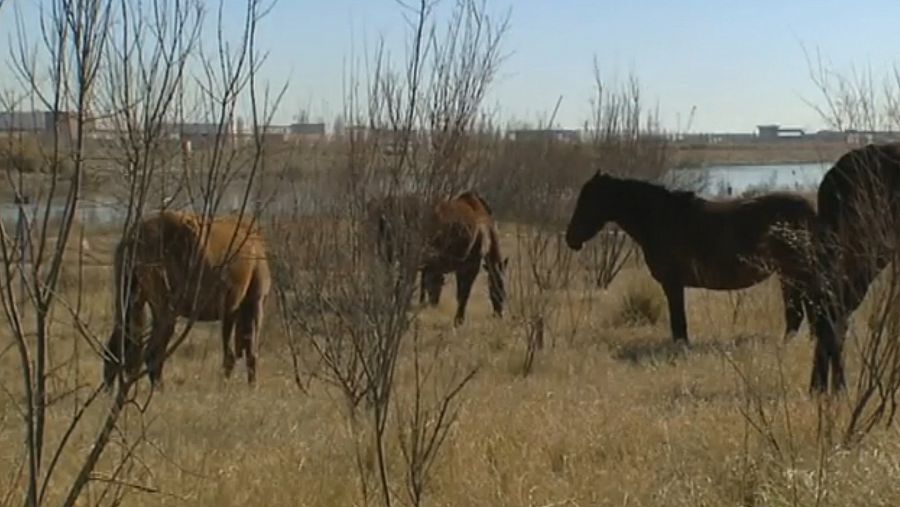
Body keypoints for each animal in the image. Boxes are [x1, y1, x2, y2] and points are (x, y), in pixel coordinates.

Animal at [103, 208, 270, 390]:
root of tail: (132, 238)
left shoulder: (231, 309)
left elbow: (231, 354)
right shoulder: (253, 301)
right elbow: (249, 353)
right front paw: (248, 388)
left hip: (130, 300)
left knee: (115, 349)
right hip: (167, 308)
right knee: (152, 354)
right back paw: (159, 391)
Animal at [568, 172, 820, 346]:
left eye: (587, 201)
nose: (571, 238)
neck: (659, 218)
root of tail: (808, 209)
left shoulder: (673, 283)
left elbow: (678, 320)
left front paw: (681, 346)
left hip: (793, 274)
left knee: (801, 311)